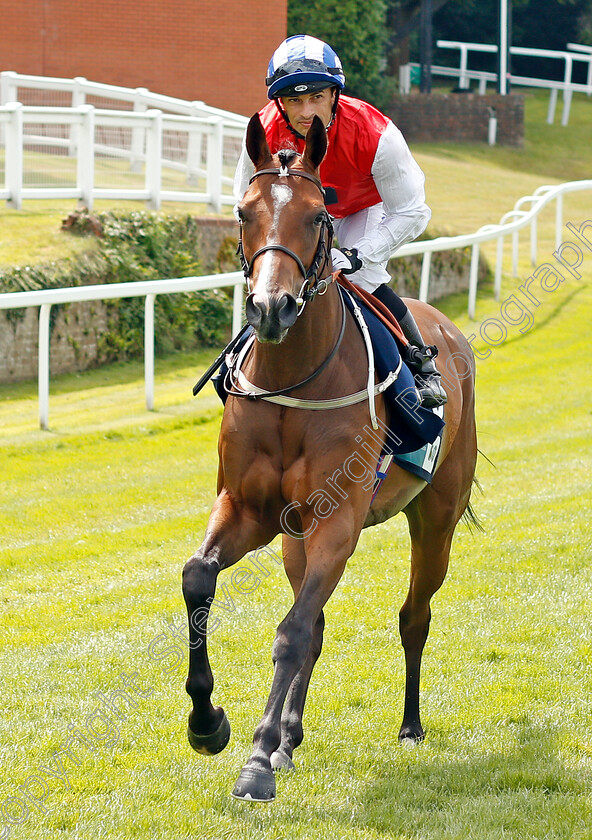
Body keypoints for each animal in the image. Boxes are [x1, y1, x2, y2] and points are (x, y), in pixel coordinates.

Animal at [183, 113, 478, 800]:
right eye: (243, 212)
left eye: (318, 215)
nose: (271, 307)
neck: (294, 381)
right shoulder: (248, 509)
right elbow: (199, 580)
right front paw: (209, 723)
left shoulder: (337, 522)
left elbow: (290, 633)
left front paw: (256, 761)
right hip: (296, 537)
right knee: (315, 623)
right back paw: (289, 739)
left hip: (436, 520)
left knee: (413, 616)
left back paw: (409, 725)